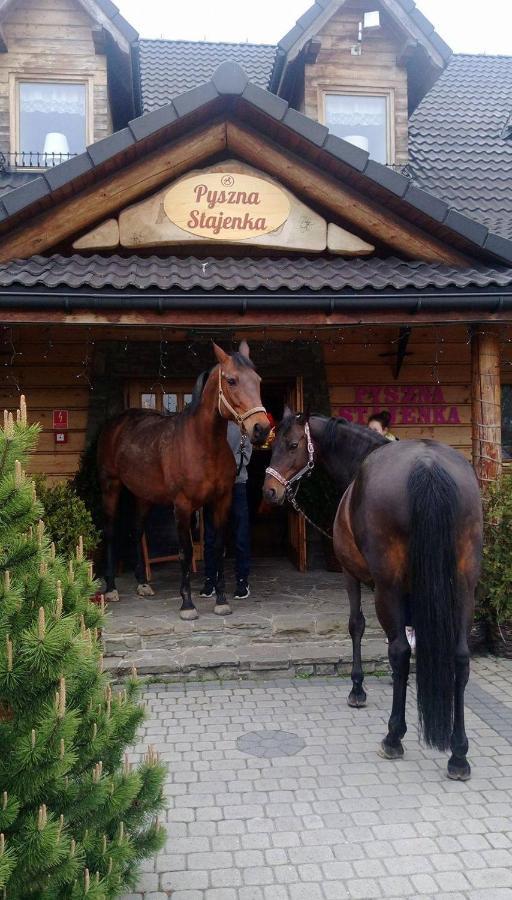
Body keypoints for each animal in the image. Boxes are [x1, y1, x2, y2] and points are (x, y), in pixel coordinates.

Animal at [97, 342, 270, 620]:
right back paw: (111, 588)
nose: (261, 429)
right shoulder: (182, 505)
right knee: (112, 532)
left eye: (258, 380)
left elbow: (218, 548)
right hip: (110, 486)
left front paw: (221, 600)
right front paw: (187, 604)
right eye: (231, 380)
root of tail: (115, 423)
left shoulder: (221, 501)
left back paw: (142, 584)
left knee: (136, 531)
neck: (203, 443)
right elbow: (185, 551)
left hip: (143, 496)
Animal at [264, 412, 484, 776]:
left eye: (292, 444)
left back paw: (393, 737)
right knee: (461, 658)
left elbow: (357, 626)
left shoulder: (352, 575)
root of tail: (428, 466)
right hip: (465, 587)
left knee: (399, 652)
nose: (269, 491)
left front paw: (357, 689)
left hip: (388, 589)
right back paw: (458, 754)